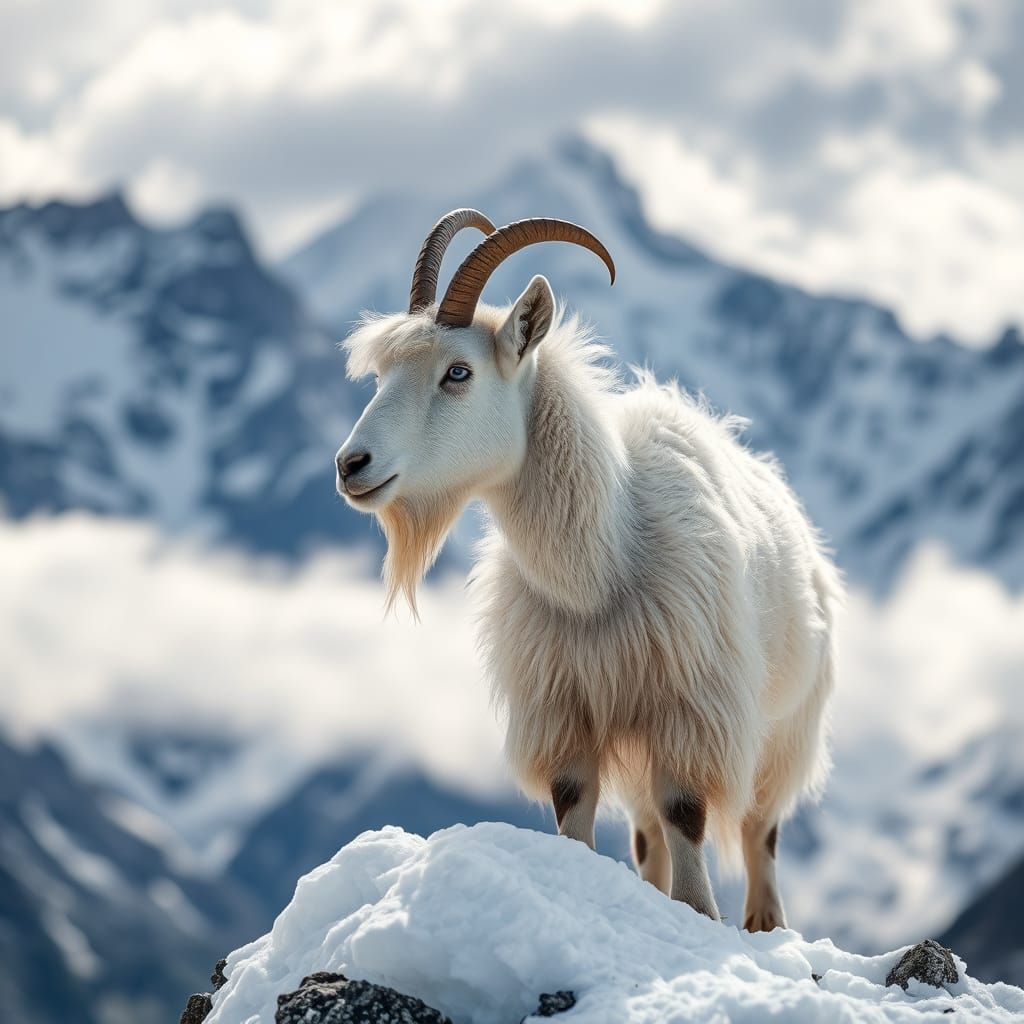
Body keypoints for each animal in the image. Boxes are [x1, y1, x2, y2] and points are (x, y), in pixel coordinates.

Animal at [335, 209, 842, 929]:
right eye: (380, 376)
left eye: (458, 372)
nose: (352, 465)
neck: (602, 566)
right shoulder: (564, 709)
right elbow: (576, 807)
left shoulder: (690, 706)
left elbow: (687, 810)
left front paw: (699, 915)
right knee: (647, 832)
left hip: (788, 727)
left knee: (757, 829)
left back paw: (764, 925)